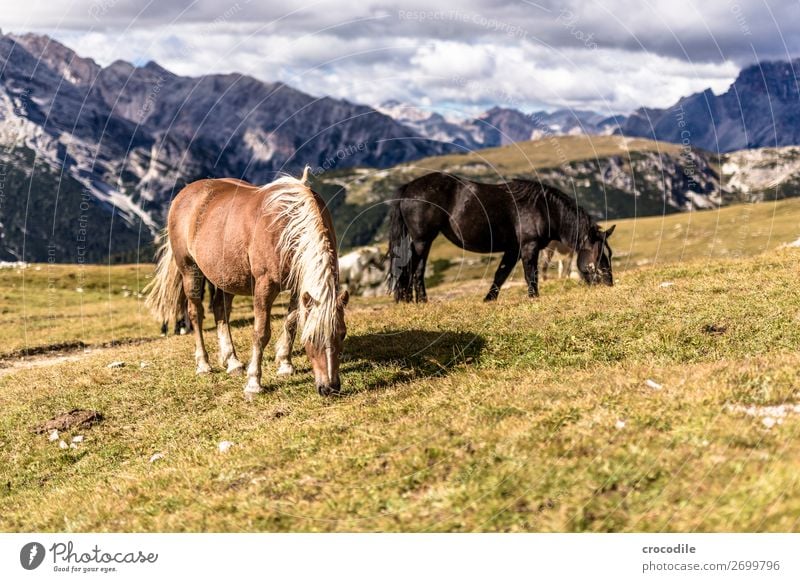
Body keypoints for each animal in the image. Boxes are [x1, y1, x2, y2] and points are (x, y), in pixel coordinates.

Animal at [145, 169, 348, 396]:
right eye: (311, 337)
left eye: (343, 334)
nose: (330, 388)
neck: (286, 225)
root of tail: (184, 194)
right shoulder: (264, 286)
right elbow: (261, 333)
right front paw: (254, 383)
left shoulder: (298, 286)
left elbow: (291, 323)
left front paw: (285, 364)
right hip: (190, 270)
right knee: (195, 313)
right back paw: (203, 364)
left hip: (226, 276)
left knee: (220, 309)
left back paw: (232, 361)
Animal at [390, 172, 616, 304]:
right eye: (598, 256)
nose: (609, 284)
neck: (544, 208)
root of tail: (408, 187)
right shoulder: (529, 247)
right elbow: (530, 274)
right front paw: (534, 298)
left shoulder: (513, 249)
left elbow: (501, 274)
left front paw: (489, 299)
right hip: (422, 240)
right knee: (414, 269)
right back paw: (417, 301)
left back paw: (412, 301)